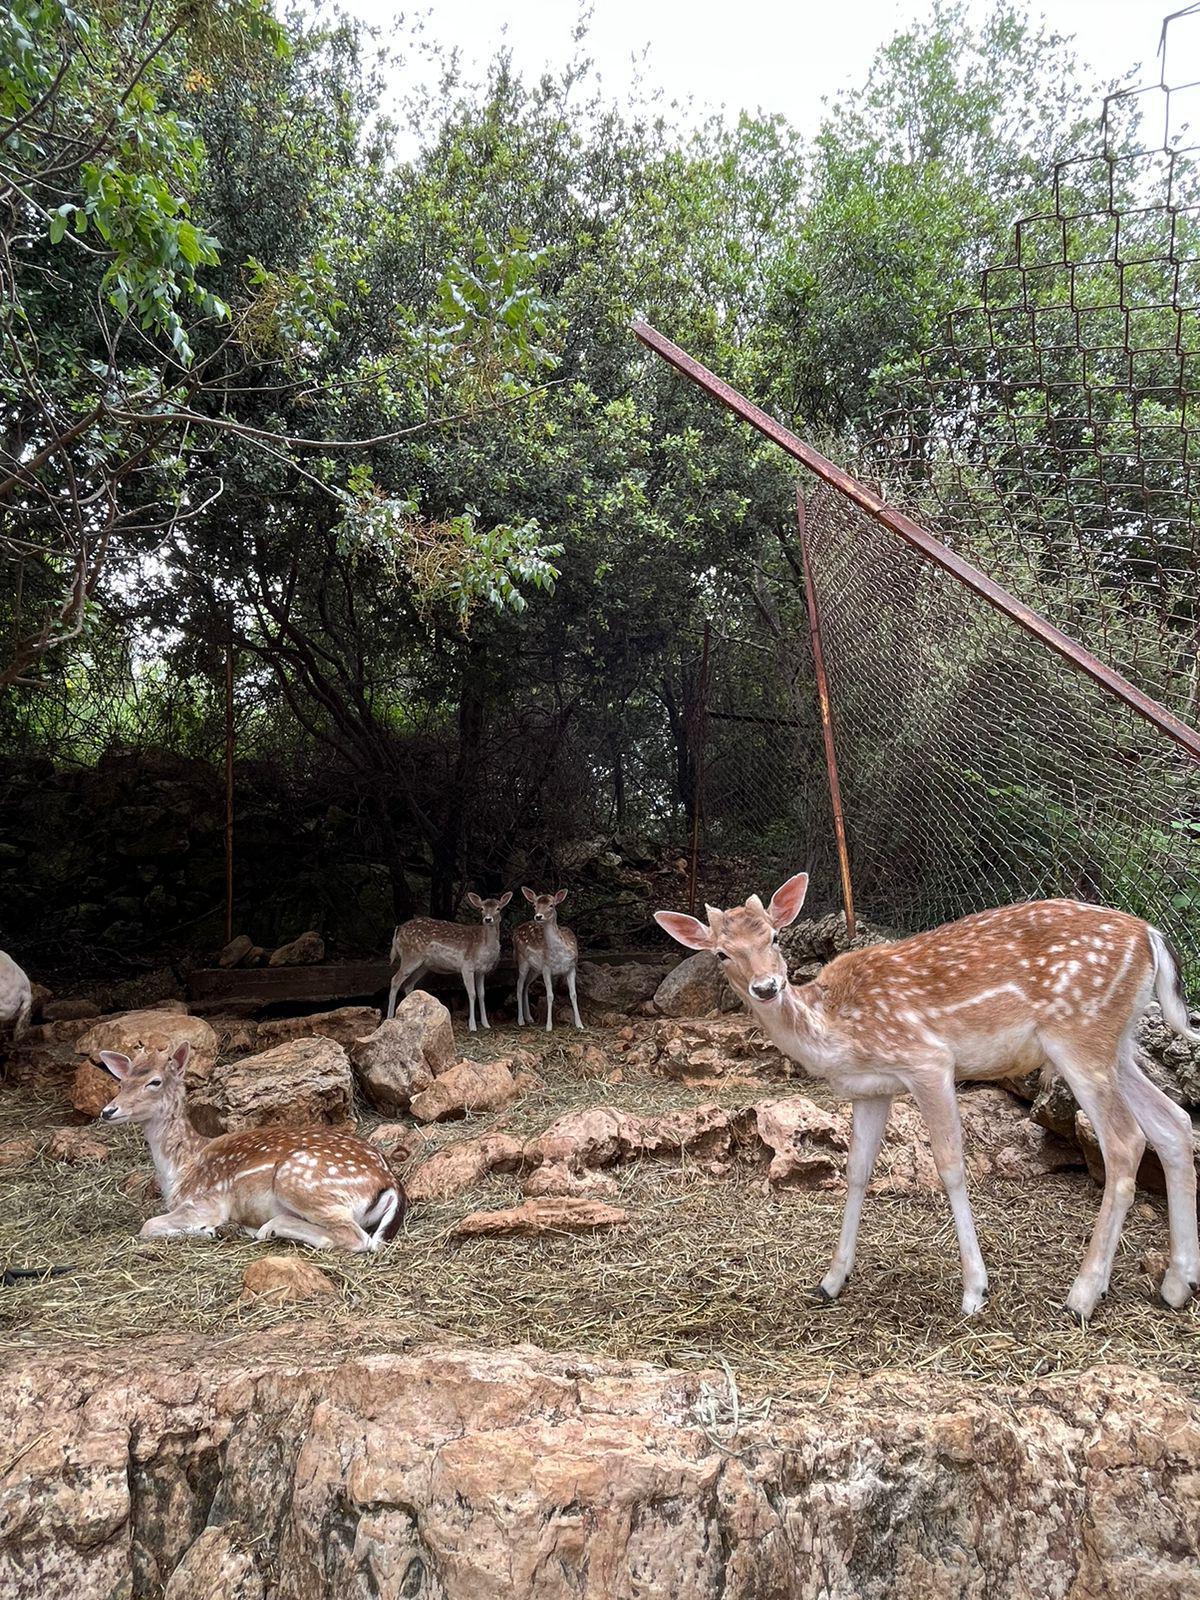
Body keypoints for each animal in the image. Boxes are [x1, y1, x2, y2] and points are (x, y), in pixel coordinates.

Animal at [97, 1043, 404, 1254]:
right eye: (122, 1082)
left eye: (155, 1082)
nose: (108, 1111)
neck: (181, 1169)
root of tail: (390, 1183)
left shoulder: (206, 1201)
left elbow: (147, 1226)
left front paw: (209, 1230)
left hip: (298, 1179)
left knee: (355, 1237)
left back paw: (265, 1228)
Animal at [387, 896, 515, 1030]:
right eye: (481, 908)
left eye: (498, 908)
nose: (488, 919)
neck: (484, 947)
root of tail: (398, 930)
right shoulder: (467, 966)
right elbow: (472, 993)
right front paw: (472, 1026)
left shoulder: (481, 971)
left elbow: (482, 994)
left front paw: (486, 1024)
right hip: (410, 956)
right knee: (395, 980)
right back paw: (389, 1017)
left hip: (423, 965)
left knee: (408, 985)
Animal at [515, 896, 585, 1030]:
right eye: (534, 905)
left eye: (551, 905)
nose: (538, 916)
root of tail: (516, 930)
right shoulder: (546, 968)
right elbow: (550, 995)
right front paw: (548, 1026)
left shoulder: (571, 967)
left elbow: (573, 994)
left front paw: (580, 1024)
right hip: (522, 960)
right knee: (519, 986)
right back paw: (521, 1020)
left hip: (535, 969)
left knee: (526, 985)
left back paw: (529, 1018)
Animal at [659, 883, 1200, 1318]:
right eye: (721, 954)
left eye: (774, 936)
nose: (767, 987)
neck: (833, 1032)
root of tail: (1150, 935)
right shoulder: (872, 1089)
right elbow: (856, 1171)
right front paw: (831, 1281)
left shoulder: (928, 1061)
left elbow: (951, 1167)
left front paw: (975, 1292)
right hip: (1117, 1042)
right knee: (1173, 1122)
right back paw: (1177, 1285)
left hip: (1079, 1033)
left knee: (1126, 1141)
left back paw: (1083, 1296)